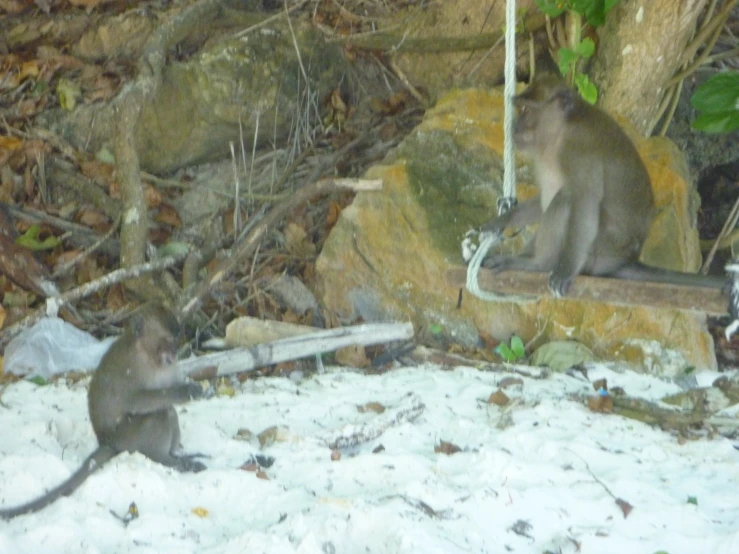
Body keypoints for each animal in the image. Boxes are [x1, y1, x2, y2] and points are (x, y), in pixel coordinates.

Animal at [0, 302, 205, 516]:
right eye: (166, 340)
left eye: (175, 339)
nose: (174, 352)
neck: (147, 355)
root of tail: (106, 441)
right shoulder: (131, 368)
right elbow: (135, 401)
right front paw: (184, 391)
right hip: (126, 438)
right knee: (160, 414)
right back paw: (165, 459)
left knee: (168, 412)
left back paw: (177, 457)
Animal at [482, 76, 724, 298]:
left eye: (526, 109)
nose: (515, 127)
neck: (560, 133)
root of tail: (625, 260)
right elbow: (544, 201)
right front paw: (501, 221)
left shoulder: (580, 151)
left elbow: (585, 204)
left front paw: (564, 270)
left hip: (601, 252)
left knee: (567, 198)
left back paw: (538, 264)